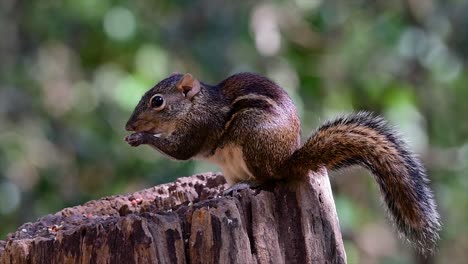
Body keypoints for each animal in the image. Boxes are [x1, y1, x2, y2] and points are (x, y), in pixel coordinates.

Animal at [123, 71, 438, 253]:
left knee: (269, 178)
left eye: (157, 101)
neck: (195, 105)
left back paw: (247, 185)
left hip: (252, 139)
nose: (128, 125)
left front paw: (141, 137)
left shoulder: (199, 127)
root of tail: (286, 161)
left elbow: (180, 150)